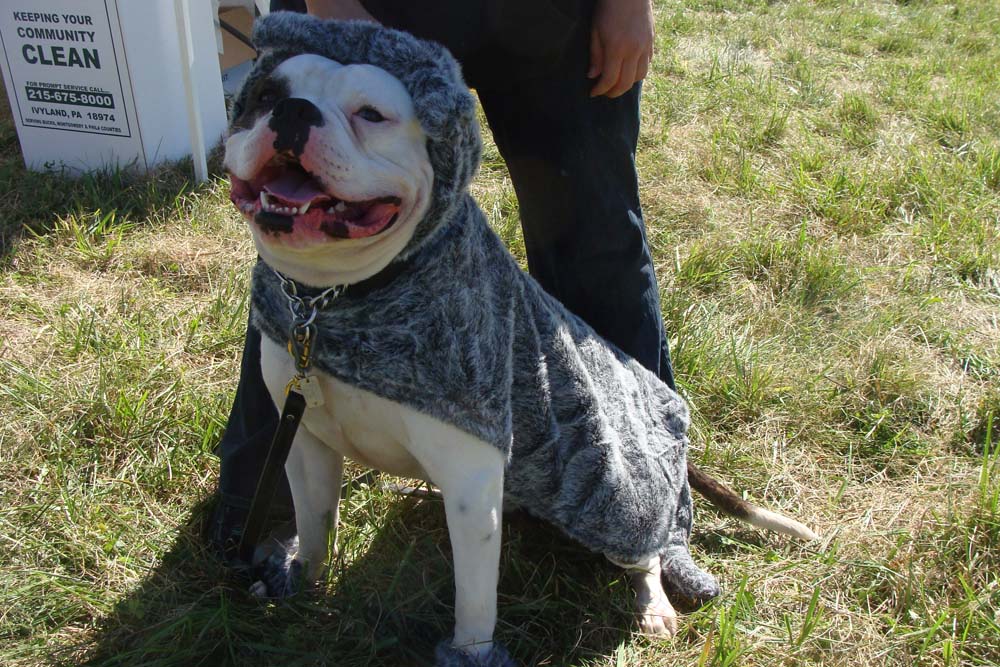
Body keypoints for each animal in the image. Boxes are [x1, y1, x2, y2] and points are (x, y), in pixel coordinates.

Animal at [223, 15, 816, 667]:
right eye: (265, 95)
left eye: (371, 114)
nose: (292, 111)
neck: (339, 298)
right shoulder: (304, 440)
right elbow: (314, 523)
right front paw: (299, 583)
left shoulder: (469, 484)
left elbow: (474, 604)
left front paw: (469, 654)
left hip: (619, 496)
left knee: (653, 551)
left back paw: (655, 602)